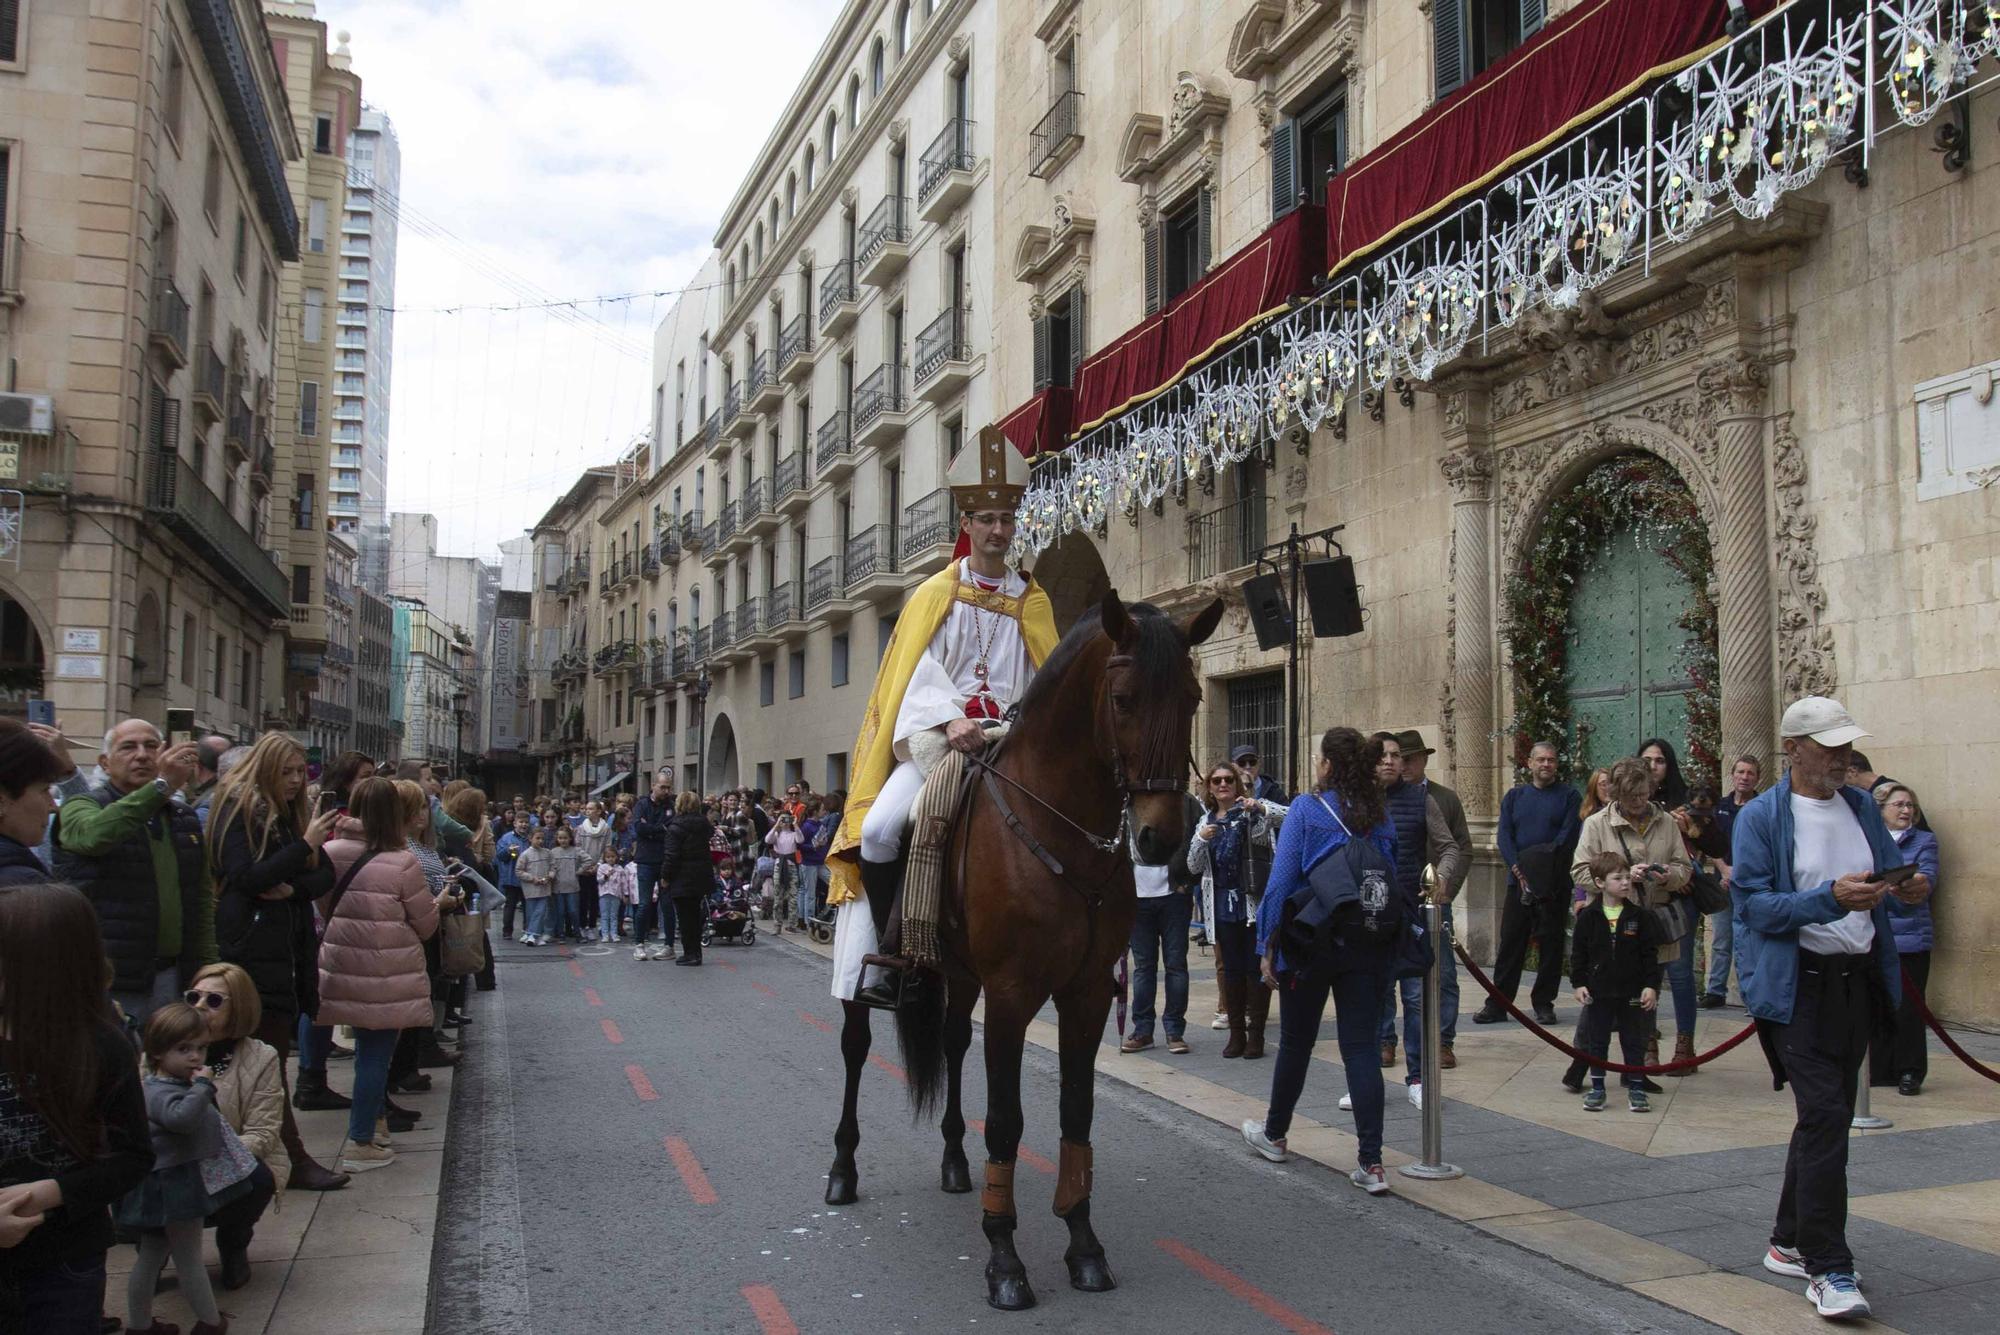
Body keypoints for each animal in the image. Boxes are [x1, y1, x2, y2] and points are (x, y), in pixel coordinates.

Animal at [816, 587, 1216, 1311]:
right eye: (1123, 699)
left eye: (1193, 697)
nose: (1160, 840)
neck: (1057, 826)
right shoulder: (1011, 993)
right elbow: (1005, 1120)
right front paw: (1004, 1260)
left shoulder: (1085, 993)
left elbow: (1076, 1114)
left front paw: (1084, 1246)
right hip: (863, 959)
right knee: (855, 1050)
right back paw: (842, 1169)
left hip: (958, 975)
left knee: (950, 1043)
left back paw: (953, 1162)